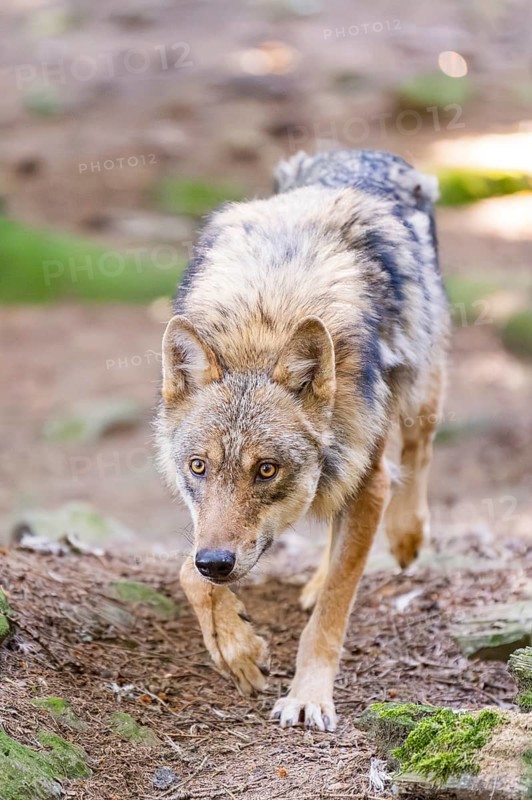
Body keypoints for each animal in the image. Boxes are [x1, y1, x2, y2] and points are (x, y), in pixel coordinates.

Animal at [155, 149, 449, 731]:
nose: (217, 562)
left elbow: (333, 612)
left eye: (266, 469)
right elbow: (185, 572)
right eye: (198, 466)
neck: (268, 314)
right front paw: (238, 649)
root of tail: (357, 152)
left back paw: (406, 535)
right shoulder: (205, 538)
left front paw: (309, 696)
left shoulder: (369, 480)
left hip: (418, 391)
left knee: (420, 451)